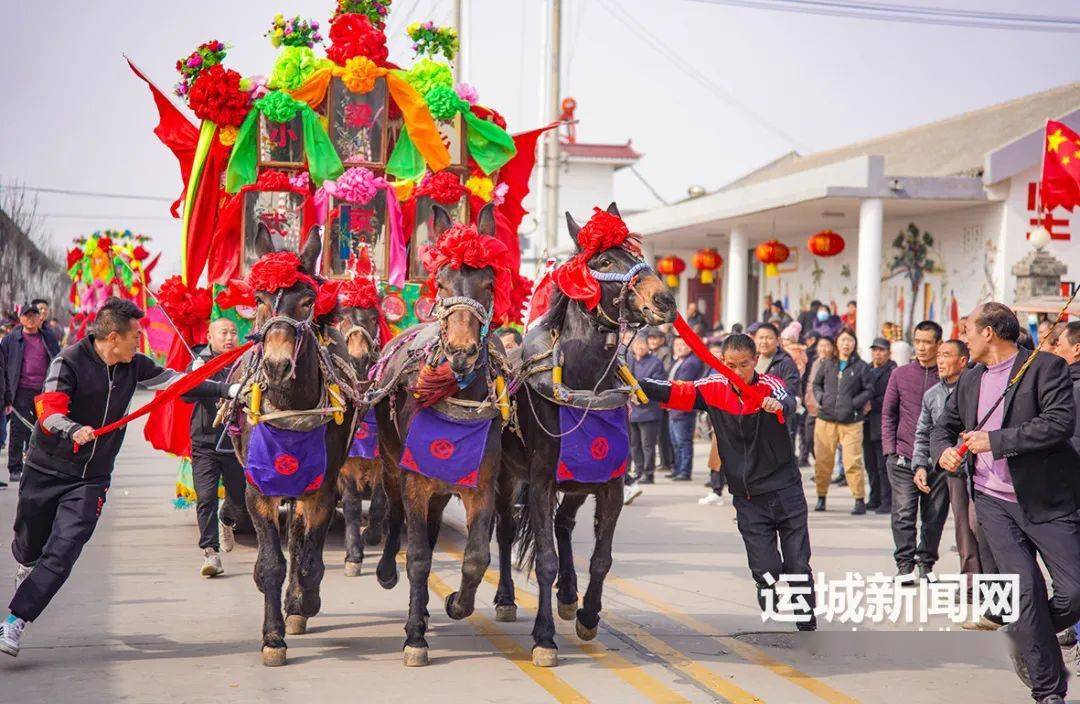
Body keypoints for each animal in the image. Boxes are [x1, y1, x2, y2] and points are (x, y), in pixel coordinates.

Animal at [507, 202, 673, 665]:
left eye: (634, 253)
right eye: (602, 262)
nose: (664, 298)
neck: (582, 385)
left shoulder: (609, 482)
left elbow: (601, 559)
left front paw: (588, 614)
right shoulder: (541, 481)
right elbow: (544, 558)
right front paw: (544, 637)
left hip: (580, 480)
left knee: (564, 523)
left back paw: (568, 595)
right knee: (502, 529)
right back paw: (506, 599)